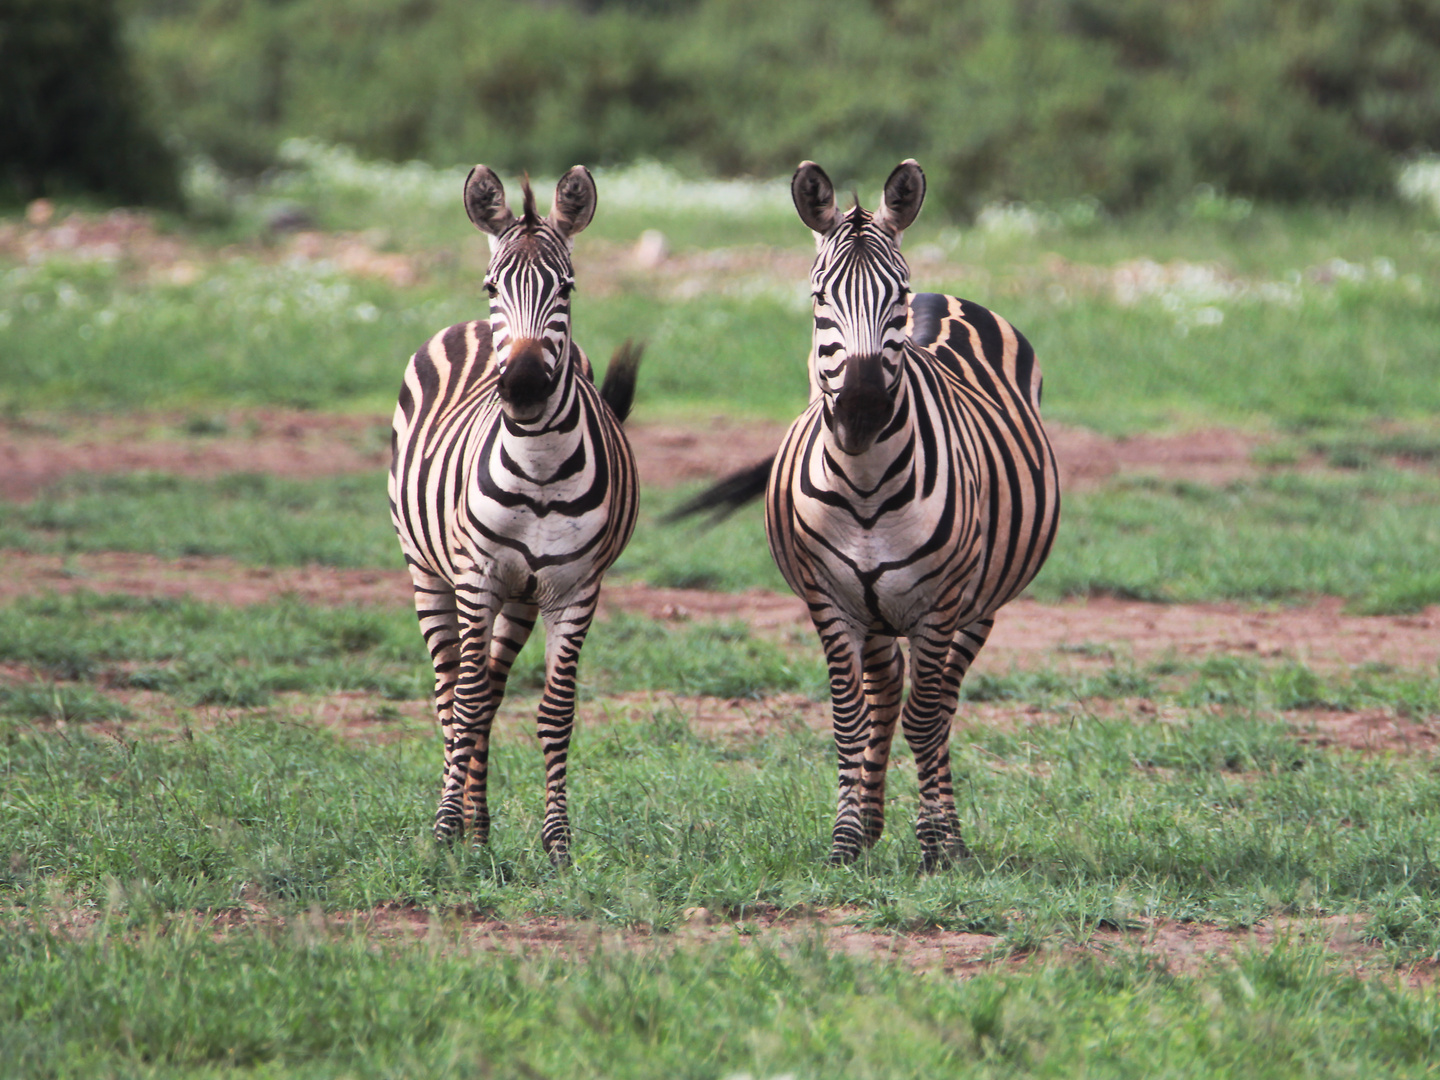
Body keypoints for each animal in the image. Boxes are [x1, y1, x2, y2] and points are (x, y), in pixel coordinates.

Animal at [391, 167, 645, 864]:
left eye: (567, 286)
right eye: (491, 286)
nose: (525, 386)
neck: (539, 468)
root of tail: (466, 329)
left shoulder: (575, 590)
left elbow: (554, 712)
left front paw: (557, 845)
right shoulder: (476, 579)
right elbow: (467, 701)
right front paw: (443, 832)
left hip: (522, 599)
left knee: (491, 691)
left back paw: (480, 829)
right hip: (429, 573)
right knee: (453, 692)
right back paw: (463, 828)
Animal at [671, 158, 1059, 869]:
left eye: (895, 295)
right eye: (819, 297)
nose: (861, 410)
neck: (867, 487)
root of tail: (946, 296)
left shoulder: (941, 601)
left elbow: (927, 718)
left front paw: (938, 847)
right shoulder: (830, 600)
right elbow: (850, 716)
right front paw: (846, 840)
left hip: (979, 603)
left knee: (940, 701)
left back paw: (946, 832)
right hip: (875, 607)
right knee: (884, 694)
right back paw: (872, 823)